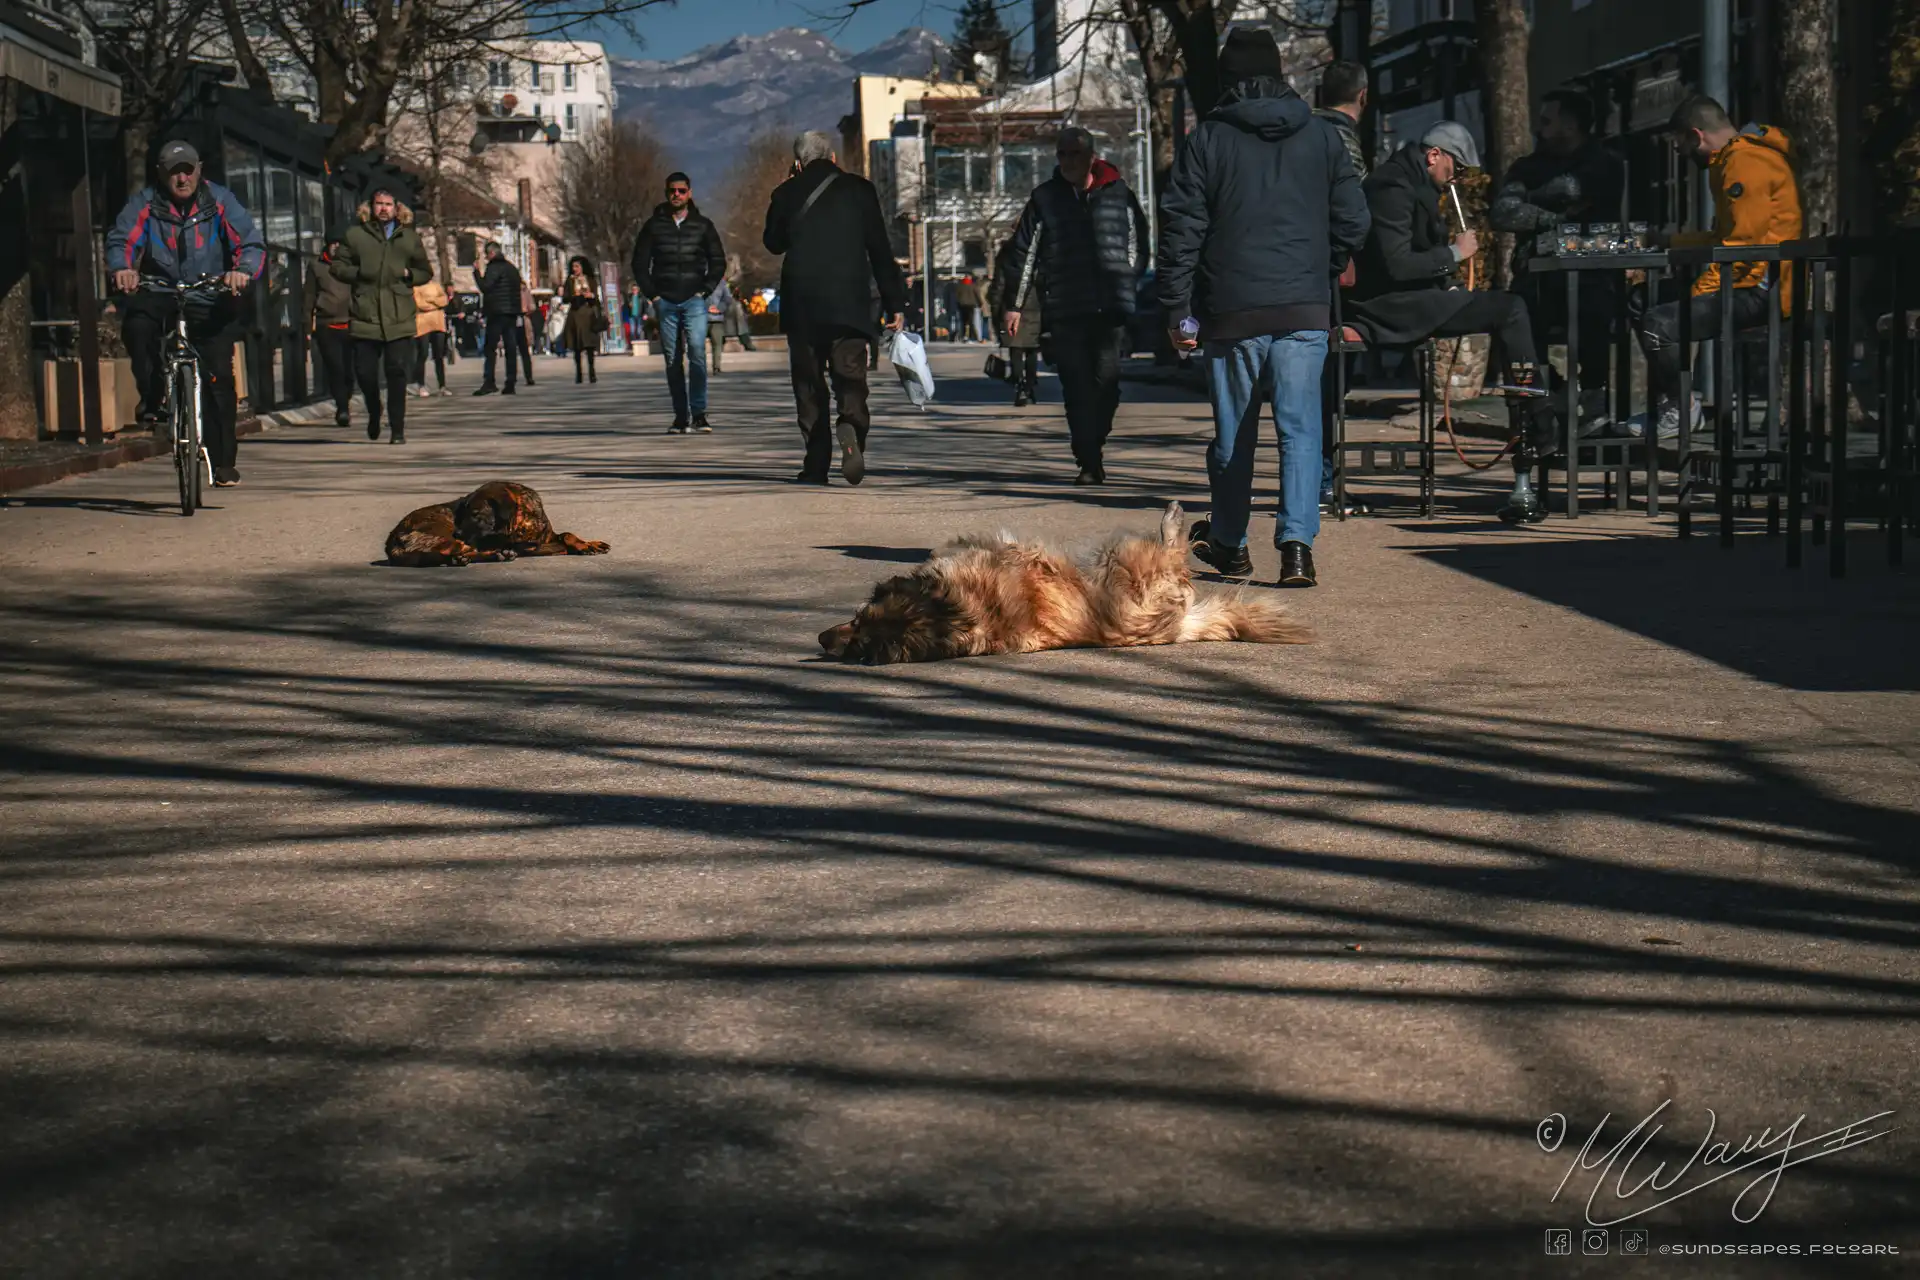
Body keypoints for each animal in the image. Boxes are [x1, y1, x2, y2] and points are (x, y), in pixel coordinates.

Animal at [382, 479, 606, 564]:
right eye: (464, 512)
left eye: (476, 514)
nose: (457, 531)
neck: (524, 522)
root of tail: (392, 542)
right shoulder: (529, 545)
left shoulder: (546, 536)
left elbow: (567, 535)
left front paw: (588, 544)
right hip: (442, 533)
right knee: (461, 551)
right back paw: (496, 554)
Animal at [817, 498, 1313, 667]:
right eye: (858, 636)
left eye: (857, 622)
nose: (823, 639)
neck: (958, 612)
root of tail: (1177, 626)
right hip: (1123, 561)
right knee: (1172, 554)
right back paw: (1176, 520)